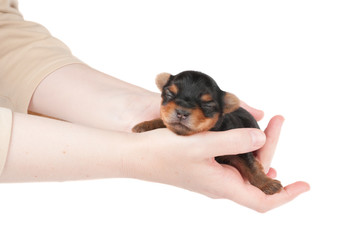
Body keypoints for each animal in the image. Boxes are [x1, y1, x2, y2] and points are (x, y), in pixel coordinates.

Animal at [131, 70, 282, 194]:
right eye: (169, 94)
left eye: (207, 105)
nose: (181, 113)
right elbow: (162, 121)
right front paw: (144, 126)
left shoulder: (241, 151)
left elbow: (251, 166)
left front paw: (268, 184)